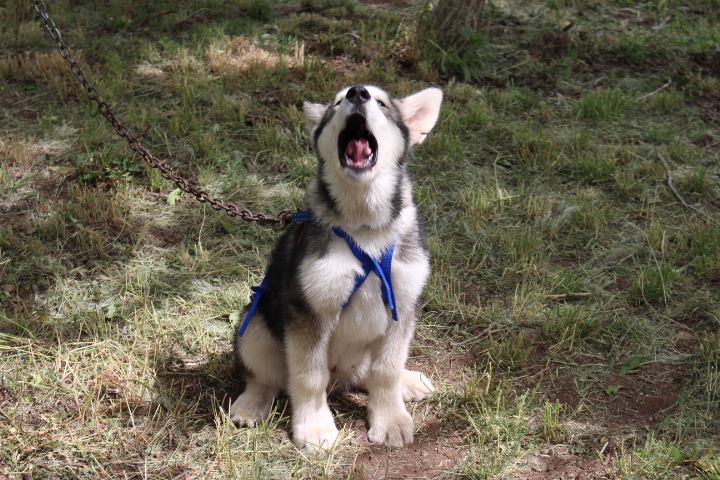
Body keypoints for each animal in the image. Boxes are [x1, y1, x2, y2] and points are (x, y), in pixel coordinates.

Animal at [231, 83, 444, 450]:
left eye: (382, 103)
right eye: (337, 103)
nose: (358, 93)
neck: (365, 226)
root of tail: (342, 378)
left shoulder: (402, 306)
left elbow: (386, 370)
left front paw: (390, 418)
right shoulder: (308, 312)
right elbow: (307, 376)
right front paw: (315, 427)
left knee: (369, 374)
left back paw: (408, 381)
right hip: (254, 323)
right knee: (266, 377)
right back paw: (251, 403)